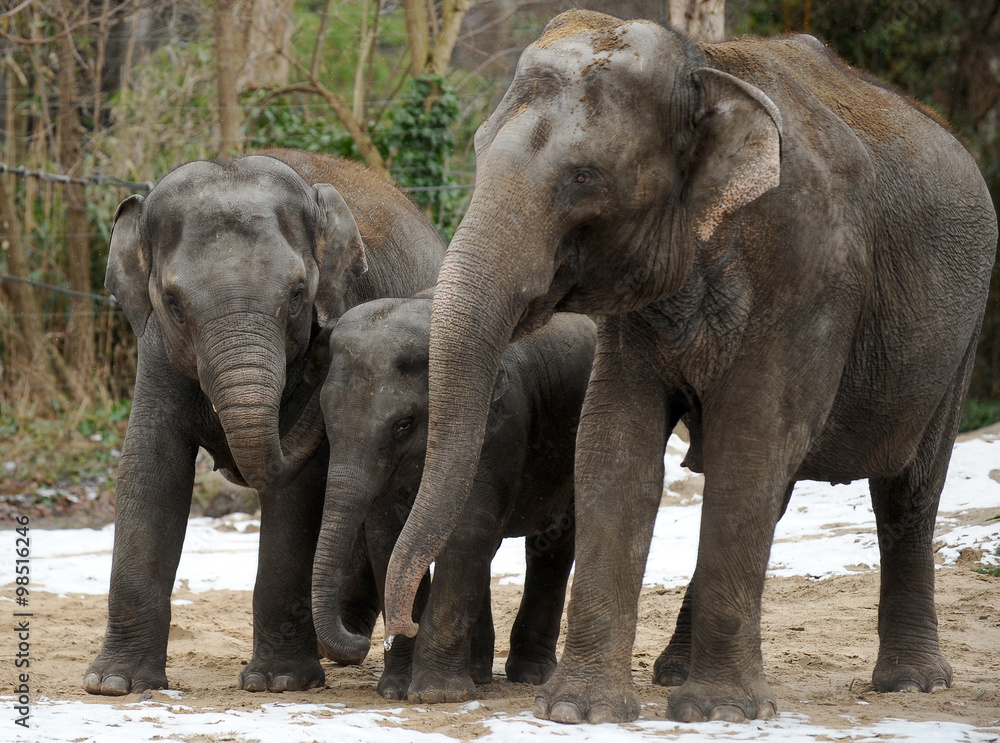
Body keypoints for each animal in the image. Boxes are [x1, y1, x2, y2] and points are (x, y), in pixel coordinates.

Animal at [84, 149, 445, 696]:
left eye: (298, 294)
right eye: (173, 303)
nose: (325, 352)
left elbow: (298, 491)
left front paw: (278, 682)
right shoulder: (156, 349)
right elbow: (151, 469)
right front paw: (113, 684)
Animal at [310, 296, 596, 702]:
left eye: (404, 425)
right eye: (326, 419)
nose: (362, 642)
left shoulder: (499, 426)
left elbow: (468, 529)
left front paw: (436, 695)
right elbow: (387, 536)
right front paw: (397, 691)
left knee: (553, 544)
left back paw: (530, 675)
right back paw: (478, 674)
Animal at [380, 10, 998, 725]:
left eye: (583, 177)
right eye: (477, 150)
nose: (403, 624)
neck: (705, 68)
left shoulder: (808, 272)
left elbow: (750, 442)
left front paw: (721, 712)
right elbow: (614, 448)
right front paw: (580, 712)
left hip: (961, 331)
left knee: (909, 490)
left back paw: (912, 685)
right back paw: (672, 669)